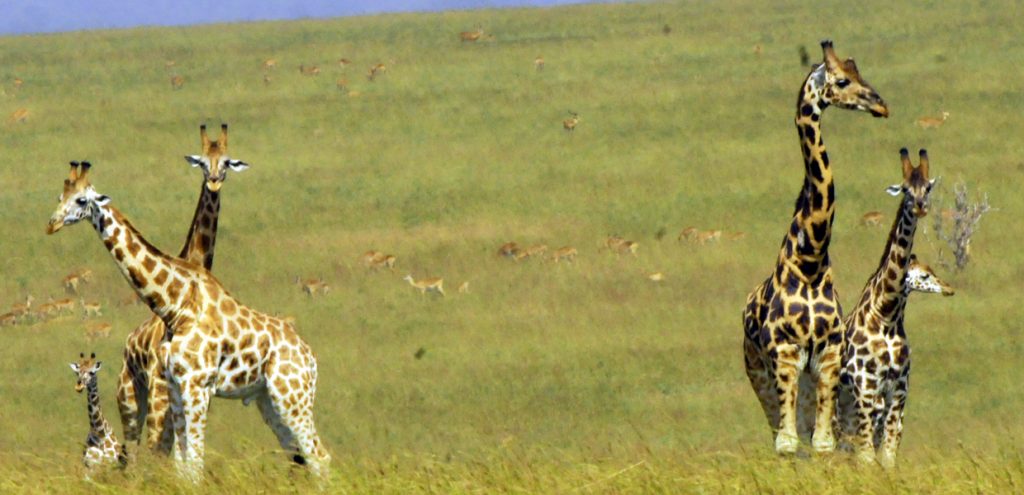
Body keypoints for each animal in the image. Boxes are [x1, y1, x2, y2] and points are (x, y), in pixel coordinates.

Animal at [48, 162, 329, 479]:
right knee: (299, 455)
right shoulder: (175, 386)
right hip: (267, 399)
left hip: (292, 394)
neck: (177, 306)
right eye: (60, 196)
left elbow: (194, 462)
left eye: (81, 200)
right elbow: (182, 465)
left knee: (319, 455)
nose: (52, 224)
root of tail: (310, 358)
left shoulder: (197, 387)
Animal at [116, 125, 249, 457]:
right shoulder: (163, 387)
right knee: (133, 450)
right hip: (130, 397)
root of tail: (127, 342)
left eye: (226, 162)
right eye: (201, 162)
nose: (213, 182)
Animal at [745, 40, 888, 455]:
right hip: (758, 373)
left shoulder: (827, 357)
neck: (809, 263)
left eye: (859, 73)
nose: (881, 105)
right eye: (841, 81)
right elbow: (787, 444)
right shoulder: (784, 355)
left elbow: (822, 443)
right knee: (779, 432)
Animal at [839, 149, 942, 467]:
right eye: (906, 189)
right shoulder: (866, 387)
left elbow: (888, 455)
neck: (886, 314)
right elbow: (867, 457)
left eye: (927, 187)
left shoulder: (898, 389)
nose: (920, 207)